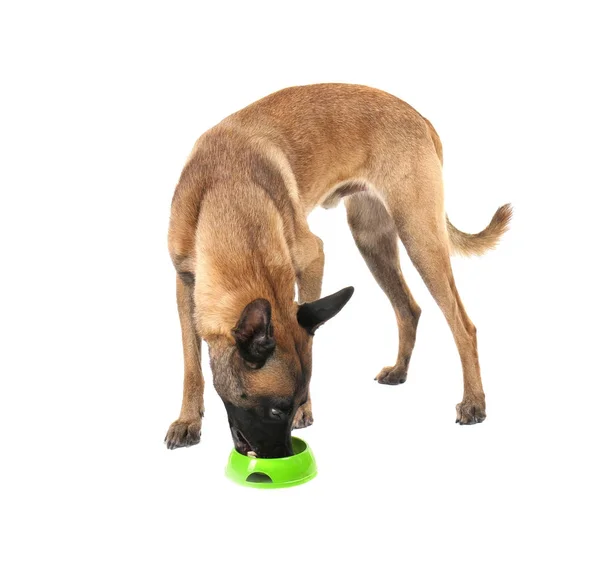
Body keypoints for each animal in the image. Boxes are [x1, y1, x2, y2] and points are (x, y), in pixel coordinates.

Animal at [164, 83, 510, 458]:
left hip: (420, 239)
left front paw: (308, 411)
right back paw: (400, 370)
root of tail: (419, 117)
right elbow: (191, 364)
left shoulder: (312, 258)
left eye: (292, 403)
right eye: (275, 409)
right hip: (371, 240)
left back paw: (474, 402)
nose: (284, 456)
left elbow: (309, 339)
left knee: (463, 326)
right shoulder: (185, 284)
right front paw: (188, 421)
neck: (229, 194)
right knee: (409, 308)